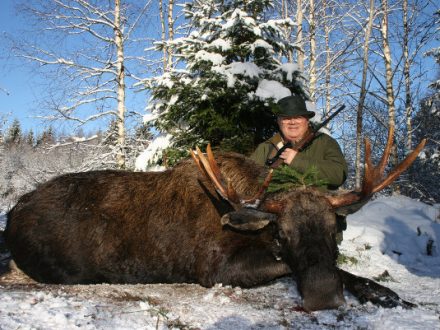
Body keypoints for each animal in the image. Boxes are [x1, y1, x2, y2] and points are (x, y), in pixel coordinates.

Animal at [2, 125, 422, 310]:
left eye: (335, 230)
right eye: (281, 233)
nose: (323, 297)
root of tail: (13, 213)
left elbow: (345, 270)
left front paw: (384, 292)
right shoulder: (215, 269)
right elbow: (286, 265)